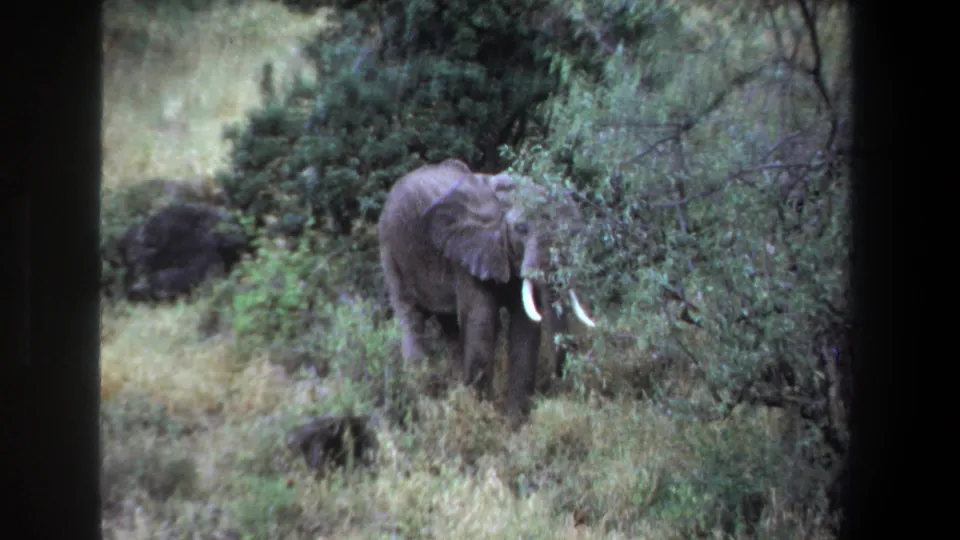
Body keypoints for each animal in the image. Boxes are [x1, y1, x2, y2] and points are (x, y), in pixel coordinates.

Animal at [377, 158, 598, 422]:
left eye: (572, 232)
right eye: (521, 228)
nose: (561, 380)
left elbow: (525, 328)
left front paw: (514, 423)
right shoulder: (467, 253)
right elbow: (481, 323)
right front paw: (482, 415)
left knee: (449, 325)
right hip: (391, 250)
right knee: (410, 318)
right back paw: (421, 399)